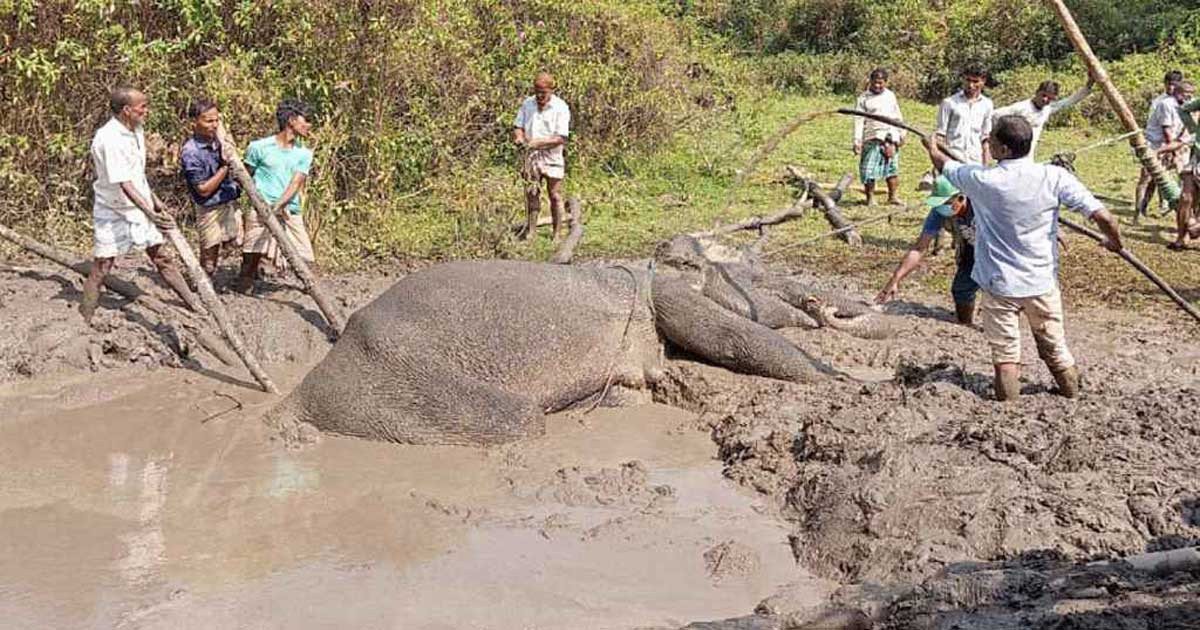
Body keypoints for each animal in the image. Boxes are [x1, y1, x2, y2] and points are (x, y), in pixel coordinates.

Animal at [270, 232, 892, 444]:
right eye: (753, 274)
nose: (815, 304)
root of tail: (296, 397)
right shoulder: (668, 294)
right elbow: (736, 339)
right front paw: (847, 378)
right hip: (392, 380)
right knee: (521, 422)